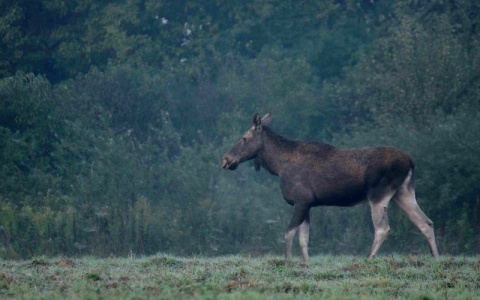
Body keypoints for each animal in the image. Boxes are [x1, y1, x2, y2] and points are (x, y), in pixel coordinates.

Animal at [221, 112, 438, 262]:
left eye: (244, 138)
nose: (225, 159)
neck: (278, 166)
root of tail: (410, 161)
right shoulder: (308, 204)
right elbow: (304, 239)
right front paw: (305, 264)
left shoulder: (301, 200)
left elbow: (289, 233)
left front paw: (287, 261)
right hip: (403, 192)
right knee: (425, 222)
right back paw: (436, 257)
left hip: (378, 193)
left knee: (383, 228)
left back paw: (368, 258)